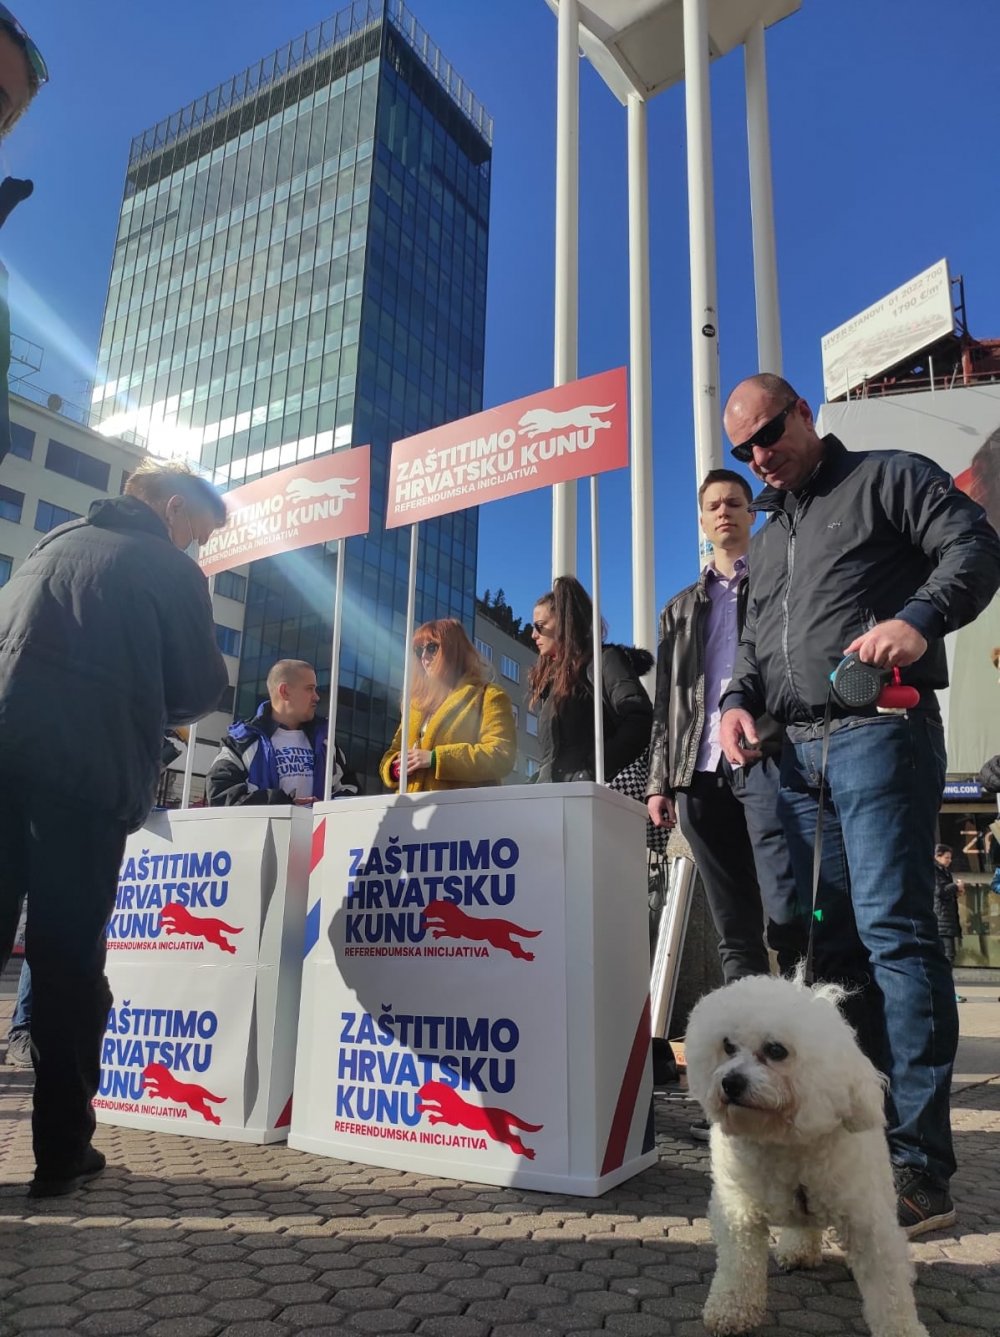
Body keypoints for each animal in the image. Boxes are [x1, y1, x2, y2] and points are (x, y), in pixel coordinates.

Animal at [685, 974, 928, 1337]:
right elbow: (738, 1265)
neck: (785, 1140)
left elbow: (888, 1285)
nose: (730, 1082)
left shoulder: (866, 1221)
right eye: (727, 1045)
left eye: (776, 1050)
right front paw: (730, 1309)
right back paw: (798, 1248)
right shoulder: (738, 1210)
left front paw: (902, 1329)